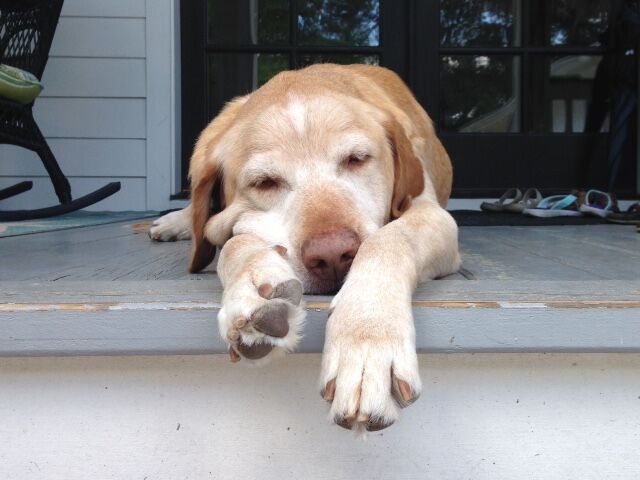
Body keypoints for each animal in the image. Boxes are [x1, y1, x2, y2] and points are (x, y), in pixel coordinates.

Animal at [150, 63, 460, 432]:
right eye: (265, 183)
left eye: (357, 159)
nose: (333, 256)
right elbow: (233, 242)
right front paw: (255, 289)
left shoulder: (433, 215)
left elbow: (388, 238)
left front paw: (367, 335)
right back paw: (173, 222)